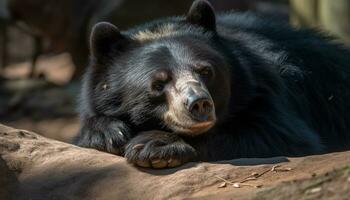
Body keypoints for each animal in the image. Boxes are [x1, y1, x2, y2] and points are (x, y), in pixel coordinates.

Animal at [73, 0, 350, 169]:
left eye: (206, 71)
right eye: (158, 84)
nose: (199, 104)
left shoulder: (265, 91)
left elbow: (284, 136)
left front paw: (155, 146)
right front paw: (108, 134)